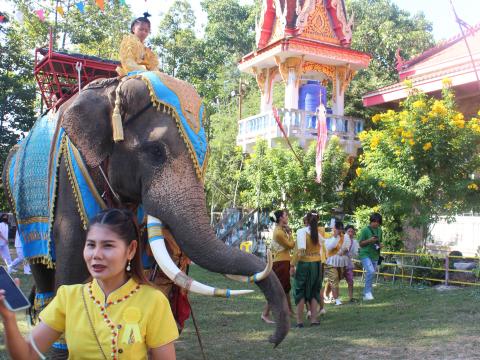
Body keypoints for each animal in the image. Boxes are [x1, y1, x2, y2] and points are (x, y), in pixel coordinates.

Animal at [3, 71, 288, 354]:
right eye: (156, 151)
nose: (272, 341)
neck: (113, 89)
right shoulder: (67, 183)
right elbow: (70, 275)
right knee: (42, 273)